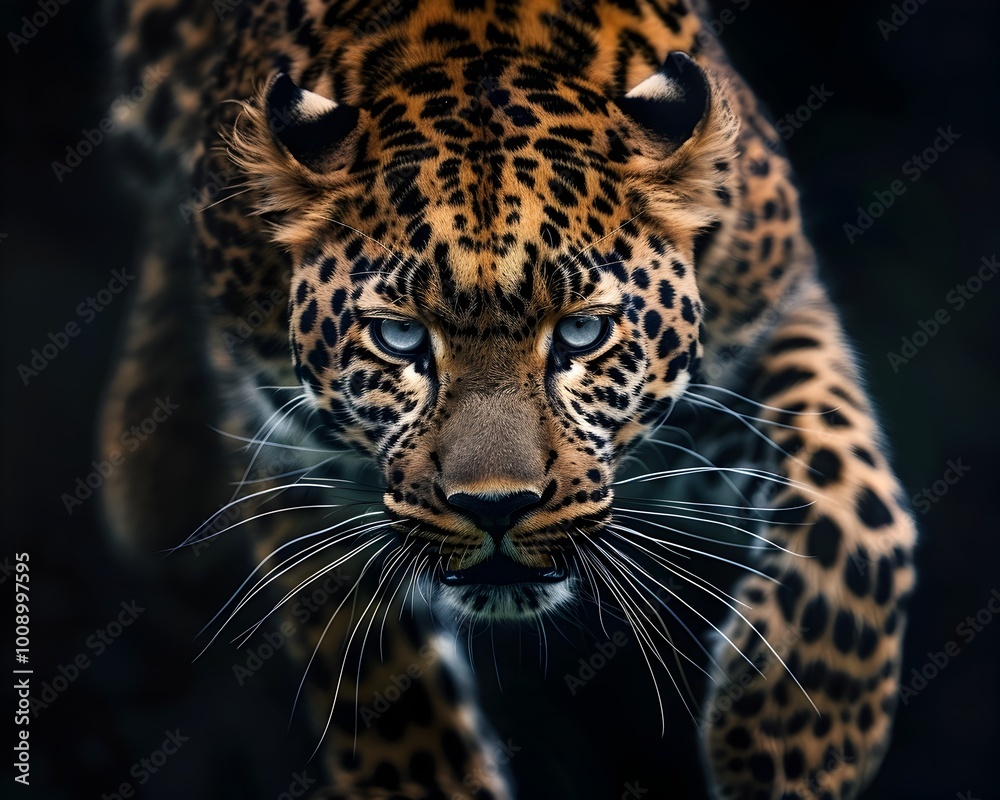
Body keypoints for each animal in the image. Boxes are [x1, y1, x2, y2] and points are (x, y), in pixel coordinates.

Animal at [99, 0, 916, 797]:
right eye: (399, 337)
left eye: (582, 331)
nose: (497, 507)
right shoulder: (289, 446)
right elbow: (380, 686)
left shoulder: (773, 314)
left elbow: (859, 515)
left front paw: (787, 746)